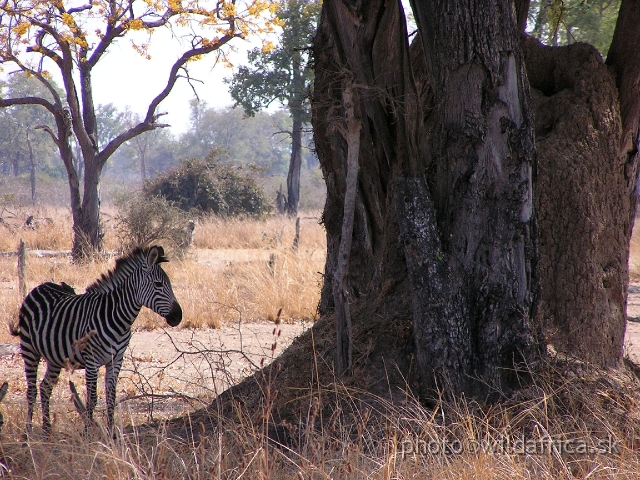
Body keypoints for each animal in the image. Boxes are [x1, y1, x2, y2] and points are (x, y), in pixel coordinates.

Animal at [13, 246, 182, 434]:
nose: (178, 316)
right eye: (158, 284)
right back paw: (28, 433)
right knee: (32, 391)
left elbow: (111, 397)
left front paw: (111, 433)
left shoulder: (116, 360)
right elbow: (92, 400)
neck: (118, 318)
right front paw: (88, 434)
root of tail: (40, 286)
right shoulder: (92, 362)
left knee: (45, 387)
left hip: (54, 357)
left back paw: (46, 430)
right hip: (29, 349)